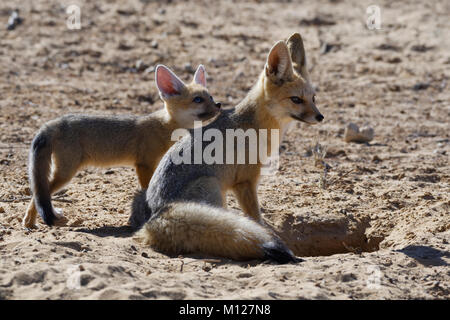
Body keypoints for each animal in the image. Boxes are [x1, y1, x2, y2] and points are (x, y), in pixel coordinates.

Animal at [24, 64, 221, 228]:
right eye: (198, 100)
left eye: (210, 96)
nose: (219, 104)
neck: (165, 126)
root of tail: (55, 122)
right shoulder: (143, 164)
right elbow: (147, 188)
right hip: (66, 173)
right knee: (39, 193)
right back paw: (30, 222)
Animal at [130, 33, 324, 262]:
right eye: (296, 100)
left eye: (313, 98)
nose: (320, 117)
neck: (254, 124)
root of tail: (154, 216)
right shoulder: (245, 182)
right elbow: (255, 216)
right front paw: (265, 231)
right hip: (212, 185)